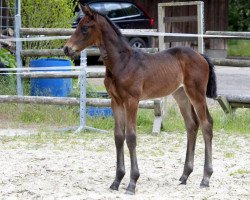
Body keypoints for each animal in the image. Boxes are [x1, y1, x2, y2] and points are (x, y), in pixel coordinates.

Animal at [64, 4, 217, 195]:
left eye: (84, 28)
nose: (66, 49)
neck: (122, 62)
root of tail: (201, 56)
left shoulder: (132, 101)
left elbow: (131, 137)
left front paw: (132, 183)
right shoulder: (115, 102)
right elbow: (118, 136)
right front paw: (116, 181)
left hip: (196, 94)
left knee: (206, 125)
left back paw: (206, 178)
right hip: (181, 95)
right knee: (192, 125)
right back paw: (184, 176)